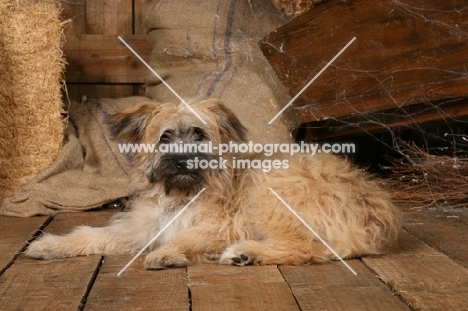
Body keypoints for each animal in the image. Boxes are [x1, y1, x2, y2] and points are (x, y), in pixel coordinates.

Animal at [25, 99, 400, 268]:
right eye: (165, 138)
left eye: (199, 135)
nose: (183, 161)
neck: (181, 195)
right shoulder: (140, 228)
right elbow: (92, 235)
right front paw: (52, 245)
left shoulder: (226, 225)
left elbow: (188, 237)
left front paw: (168, 253)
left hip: (268, 194)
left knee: (308, 246)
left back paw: (246, 253)